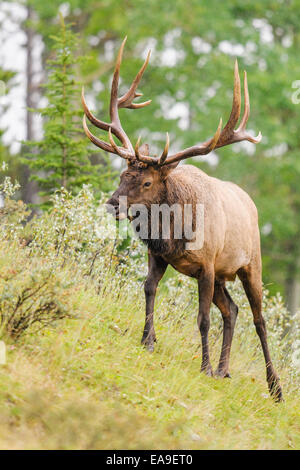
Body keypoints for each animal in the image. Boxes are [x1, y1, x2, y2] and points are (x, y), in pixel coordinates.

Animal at [82, 38, 284, 402]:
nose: (112, 204)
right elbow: (148, 288)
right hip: (223, 276)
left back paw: (274, 387)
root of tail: (251, 203)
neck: (173, 233)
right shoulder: (159, 255)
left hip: (250, 265)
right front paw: (147, 340)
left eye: (147, 182)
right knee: (232, 310)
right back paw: (224, 369)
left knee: (258, 320)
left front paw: (202, 367)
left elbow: (202, 319)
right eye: (122, 174)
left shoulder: (206, 265)